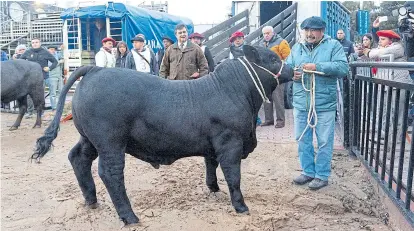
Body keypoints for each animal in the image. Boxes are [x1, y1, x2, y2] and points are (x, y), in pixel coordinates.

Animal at [33, 45, 294, 226]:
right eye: (273, 59)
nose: (291, 69)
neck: (232, 89)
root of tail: (95, 69)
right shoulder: (231, 143)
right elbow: (233, 176)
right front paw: (240, 206)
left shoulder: (212, 144)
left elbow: (211, 166)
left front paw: (213, 188)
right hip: (110, 141)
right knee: (110, 173)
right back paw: (129, 216)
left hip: (90, 138)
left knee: (78, 158)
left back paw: (91, 199)